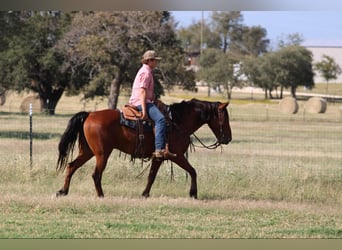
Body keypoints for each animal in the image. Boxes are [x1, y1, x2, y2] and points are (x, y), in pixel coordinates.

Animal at [56, 98, 232, 198]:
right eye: (225, 118)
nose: (228, 138)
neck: (177, 122)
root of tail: (89, 115)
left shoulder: (158, 157)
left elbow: (151, 176)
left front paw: (145, 193)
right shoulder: (177, 155)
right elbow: (193, 171)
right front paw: (193, 193)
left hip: (87, 151)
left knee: (71, 166)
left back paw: (63, 191)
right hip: (102, 153)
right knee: (96, 174)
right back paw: (100, 195)